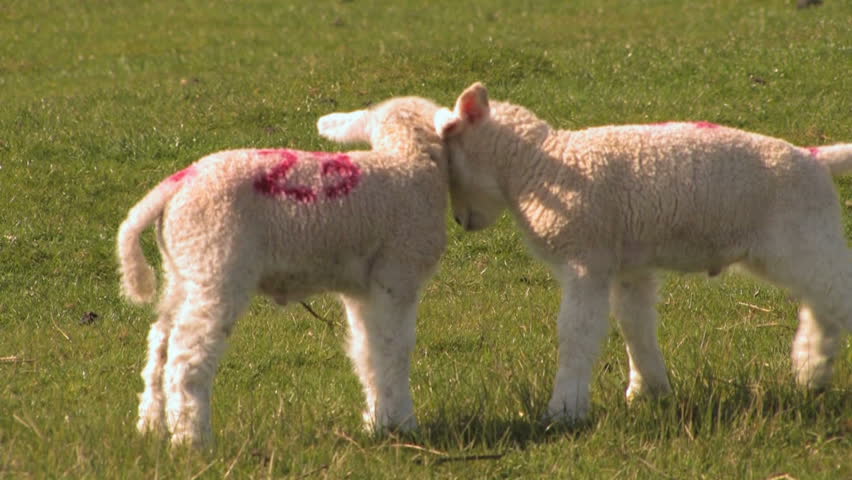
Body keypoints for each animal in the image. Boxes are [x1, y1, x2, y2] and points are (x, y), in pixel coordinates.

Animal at [117, 95, 449, 447]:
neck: (406, 162)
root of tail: (174, 186)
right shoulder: (398, 271)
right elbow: (395, 347)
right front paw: (404, 423)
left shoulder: (364, 287)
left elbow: (370, 349)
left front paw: (380, 421)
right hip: (215, 261)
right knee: (185, 356)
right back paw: (192, 440)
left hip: (183, 268)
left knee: (160, 342)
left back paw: (151, 426)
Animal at [433, 82, 852, 422]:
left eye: (450, 161)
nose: (460, 221)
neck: (541, 165)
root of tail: (815, 158)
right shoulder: (628, 265)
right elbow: (635, 324)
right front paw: (648, 391)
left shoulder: (588, 257)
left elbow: (577, 332)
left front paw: (564, 409)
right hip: (807, 241)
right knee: (821, 307)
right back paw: (812, 373)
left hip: (802, 236)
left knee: (832, 296)